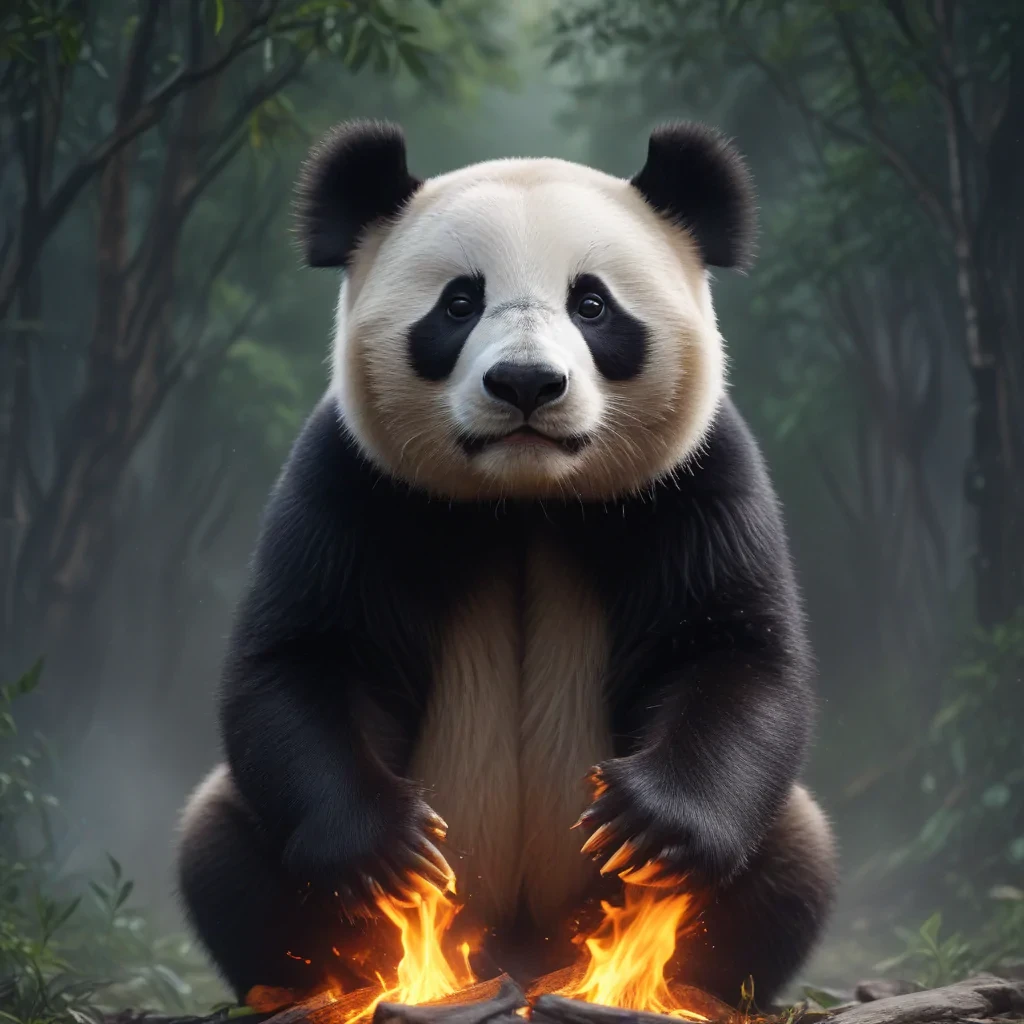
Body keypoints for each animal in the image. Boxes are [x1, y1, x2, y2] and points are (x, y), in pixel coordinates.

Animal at [176, 119, 838, 1008]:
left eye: (592, 304)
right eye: (459, 303)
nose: (526, 382)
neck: (526, 496)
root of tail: (517, 955)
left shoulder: (696, 477)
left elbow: (728, 647)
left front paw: (646, 822)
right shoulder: (350, 478)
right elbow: (305, 656)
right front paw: (390, 847)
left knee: (793, 857)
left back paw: (671, 988)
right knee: (221, 845)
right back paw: (320, 985)